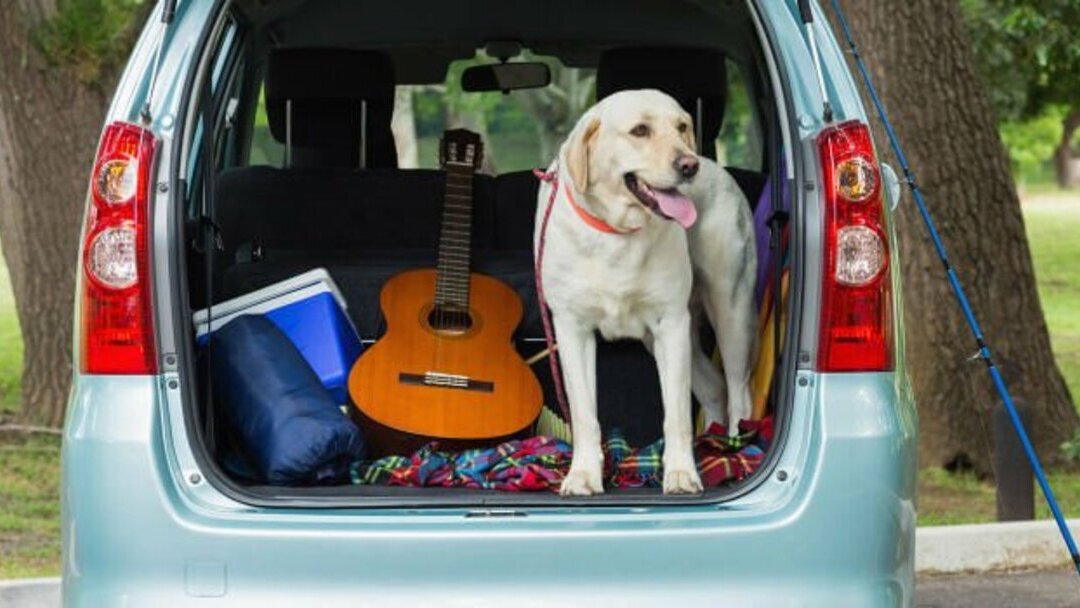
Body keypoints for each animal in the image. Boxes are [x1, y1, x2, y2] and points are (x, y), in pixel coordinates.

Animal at [535, 91, 756, 498]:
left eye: (682, 126)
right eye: (640, 130)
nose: (689, 165)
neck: (616, 232)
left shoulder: (671, 323)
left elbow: (676, 414)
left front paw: (681, 473)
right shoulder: (572, 330)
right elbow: (584, 414)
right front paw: (583, 474)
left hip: (730, 311)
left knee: (738, 392)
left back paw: (735, 448)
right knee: (715, 389)